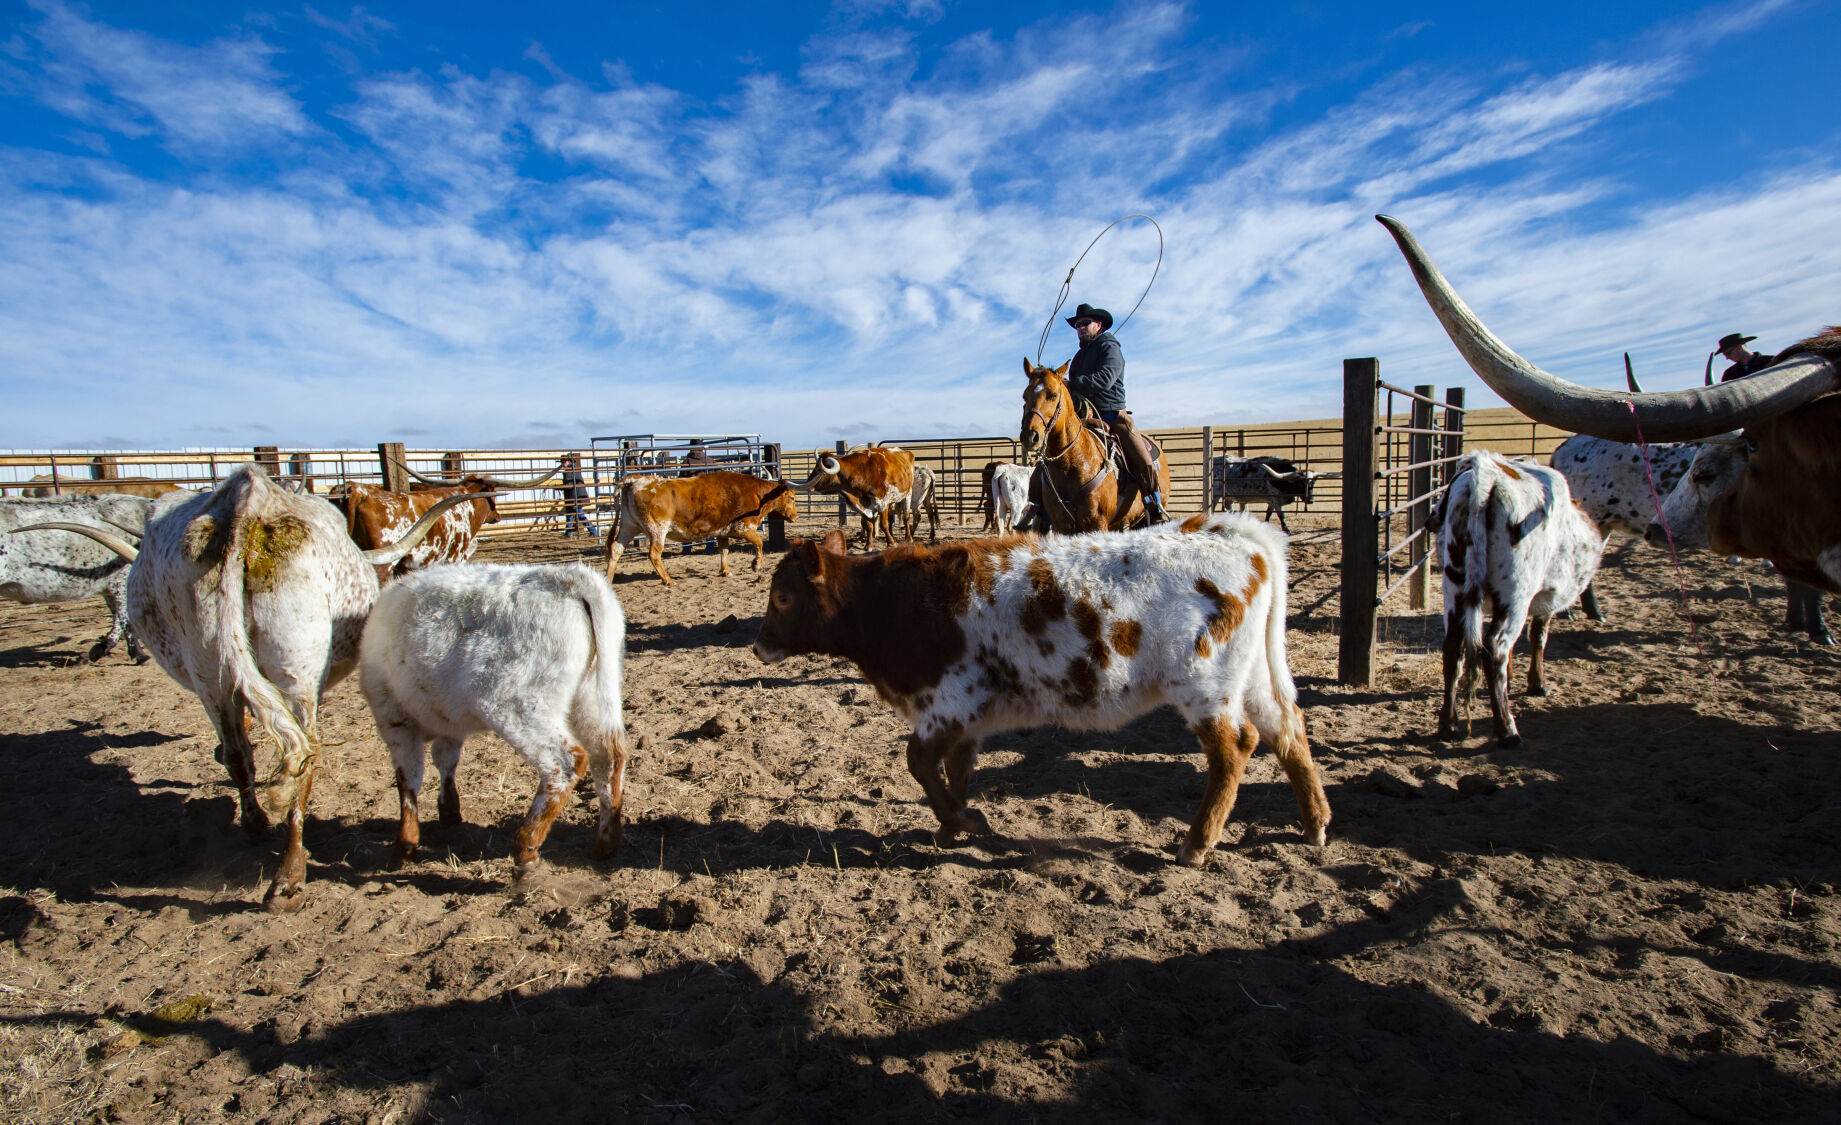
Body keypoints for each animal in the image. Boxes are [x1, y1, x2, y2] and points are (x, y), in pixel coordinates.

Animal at [0, 494, 153, 662]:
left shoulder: (109, 585)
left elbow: (116, 615)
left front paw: (104, 645)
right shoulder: (121, 581)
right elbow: (125, 618)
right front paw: (139, 654)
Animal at [360, 562, 630, 872]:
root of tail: (569, 578)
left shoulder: (394, 719)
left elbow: (409, 779)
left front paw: (404, 843)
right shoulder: (447, 725)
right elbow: (445, 760)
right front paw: (449, 812)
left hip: (516, 707)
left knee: (566, 761)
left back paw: (526, 845)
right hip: (591, 697)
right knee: (608, 758)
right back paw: (606, 843)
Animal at [604, 471, 798, 585]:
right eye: (792, 498)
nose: (795, 516)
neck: (757, 494)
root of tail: (636, 480)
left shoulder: (722, 532)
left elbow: (724, 550)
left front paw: (726, 571)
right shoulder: (743, 528)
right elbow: (759, 543)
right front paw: (756, 565)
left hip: (628, 526)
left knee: (615, 549)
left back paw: (608, 579)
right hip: (657, 529)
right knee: (654, 555)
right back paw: (668, 580)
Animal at [752, 516, 1331, 866]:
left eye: (783, 597)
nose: (758, 646)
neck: (889, 603)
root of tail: (1232, 534)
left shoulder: (947, 703)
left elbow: (919, 764)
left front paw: (964, 820)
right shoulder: (968, 719)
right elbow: (957, 770)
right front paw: (950, 829)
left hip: (1206, 685)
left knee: (1235, 749)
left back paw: (1197, 843)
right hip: (1253, 677)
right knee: (1287, 729)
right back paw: (1315, 824)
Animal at [1432, 450, 1607, 749]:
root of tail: (1487, 474)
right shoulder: (1544, 600)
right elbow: (1538, 636)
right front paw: (1538, 683)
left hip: (1455, 590)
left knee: (1453, 648)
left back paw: (1448, 724)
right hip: (1516, 594)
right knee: (1495, 648)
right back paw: (1507, 729)